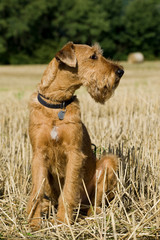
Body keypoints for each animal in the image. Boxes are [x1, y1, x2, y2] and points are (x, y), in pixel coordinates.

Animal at [27, 42, 124, 230]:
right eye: (93, 56)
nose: (120, 71)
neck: (57, 104)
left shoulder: (74, 153)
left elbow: (69, 190)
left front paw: (62, 222)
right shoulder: (39, 154)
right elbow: (37, 190)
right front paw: (34, 223)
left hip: (108, 164)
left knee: (94, 202)